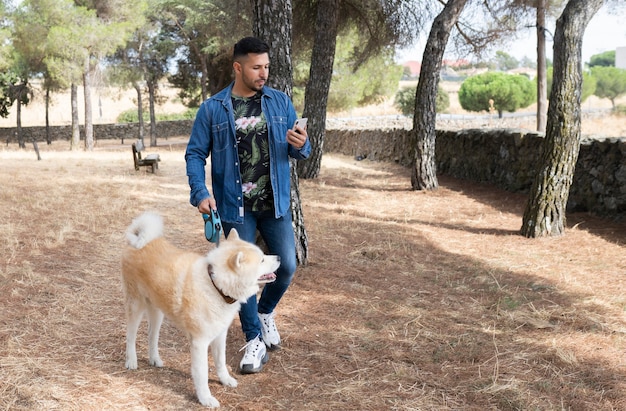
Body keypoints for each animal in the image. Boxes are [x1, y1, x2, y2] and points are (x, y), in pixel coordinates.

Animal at [122, 212, 278, 408]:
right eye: (262, 259)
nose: (279, 258)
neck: (215, 286)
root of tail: (138, 240)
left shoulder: (219, 336)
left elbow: (221, 362)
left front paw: (225, 380)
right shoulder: (200, 343)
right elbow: (202, 374)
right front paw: (205, 398)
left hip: (157, 312)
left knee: (152, 336)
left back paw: (154, 359)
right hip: (136, 306)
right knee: (130, 336)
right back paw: (131, 361)